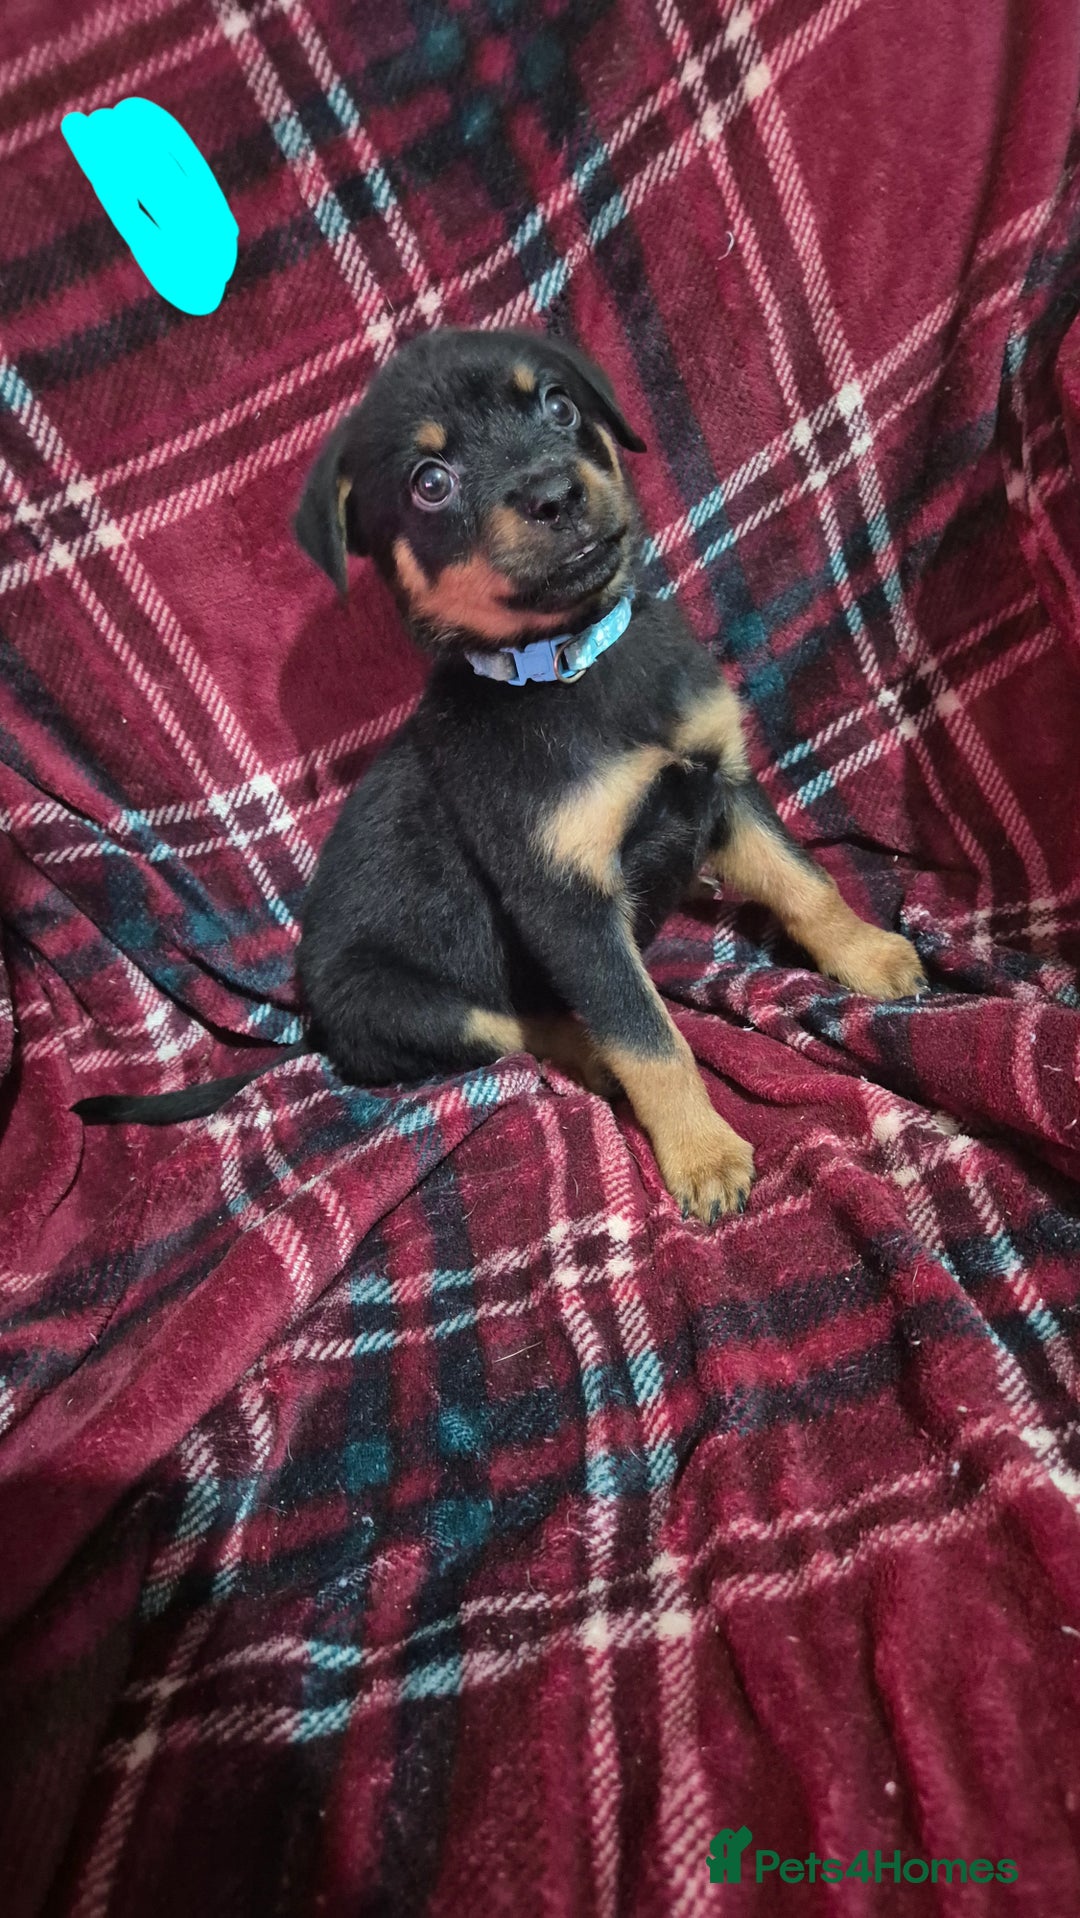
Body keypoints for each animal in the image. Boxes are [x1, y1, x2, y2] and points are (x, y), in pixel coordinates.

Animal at [76, 327, 926, 1221]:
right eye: (430, 482)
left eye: (558, 404)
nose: (555, 493)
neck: (569, 665)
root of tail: (316, 1028)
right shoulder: (565, 902)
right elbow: (647, 1033)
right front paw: (703, 1154)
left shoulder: (718, 780)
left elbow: (805, 882)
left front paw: (870, 957)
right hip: (417, 1004)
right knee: (522, 1028)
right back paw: (589, 1056)